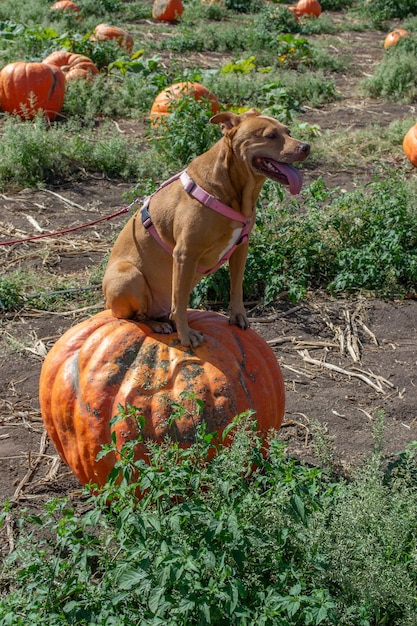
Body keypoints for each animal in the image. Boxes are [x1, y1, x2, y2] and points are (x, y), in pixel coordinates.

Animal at [101, 111, 308, 346]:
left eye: (288, 131)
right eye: (271, 135)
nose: (306, 147)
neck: (231, 189)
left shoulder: (241, 247)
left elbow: (236, 287)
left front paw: (238, 316)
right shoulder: (185, 254)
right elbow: (180, 303)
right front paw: (185, 334)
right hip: (128, 276)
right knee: (132, 317)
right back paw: (158, 324)